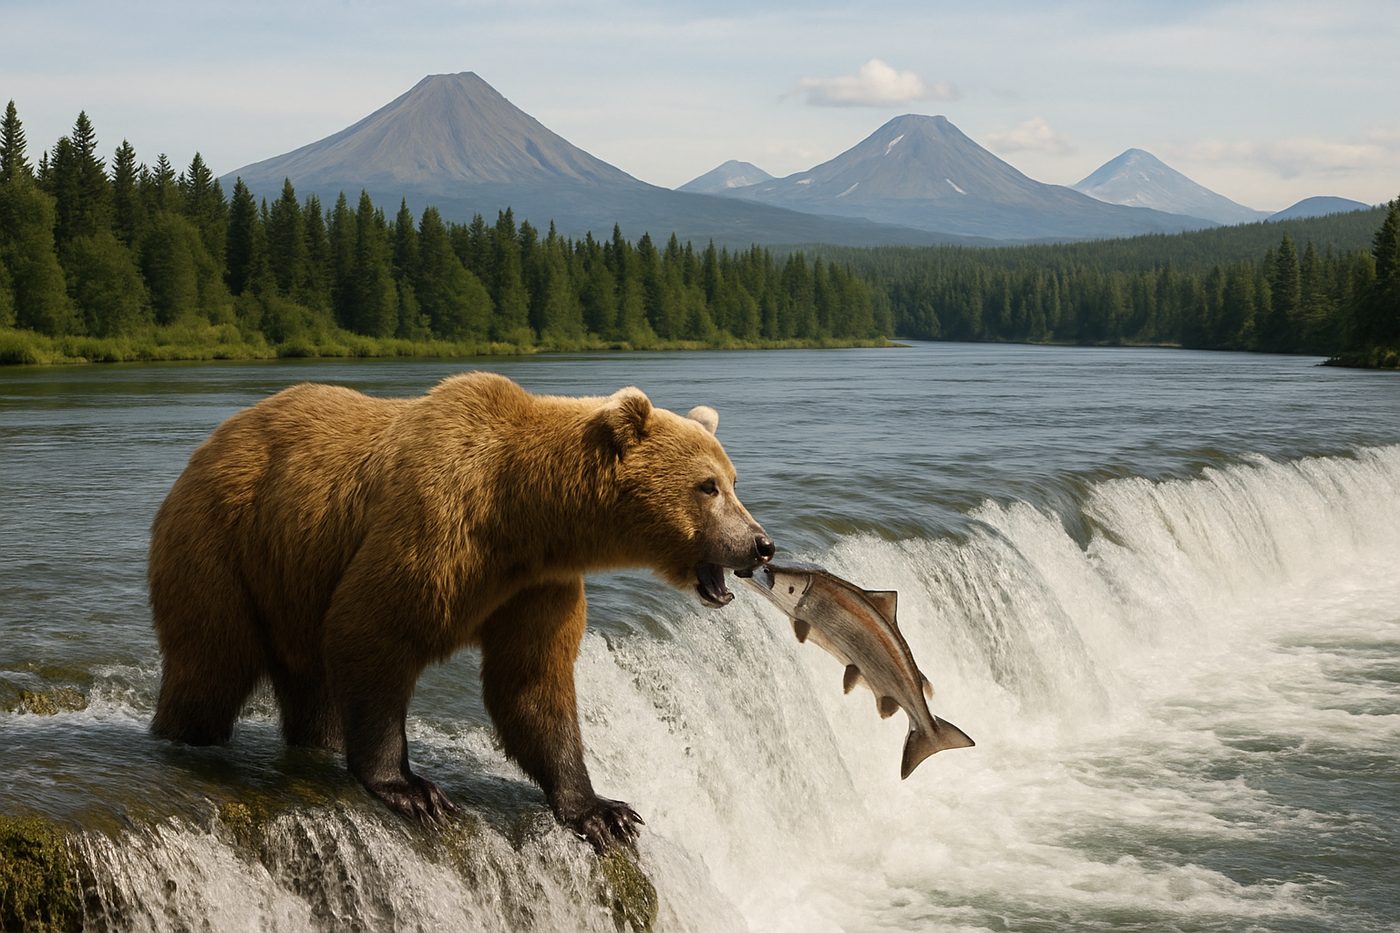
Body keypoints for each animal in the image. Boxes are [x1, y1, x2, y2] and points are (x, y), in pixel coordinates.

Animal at [148, 371, 774, 849]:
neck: (524, 511)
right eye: (707, 486)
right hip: (226, 545)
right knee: (211, 665)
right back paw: (184, 735)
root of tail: (208, 445)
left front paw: (602, 810)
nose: (760, 544)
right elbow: (374, 631)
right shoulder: (437, 525)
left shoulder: (535, 585)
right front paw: (411, 790)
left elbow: (532, 683)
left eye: (733, 480)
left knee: (308, 687)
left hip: (291, 580)